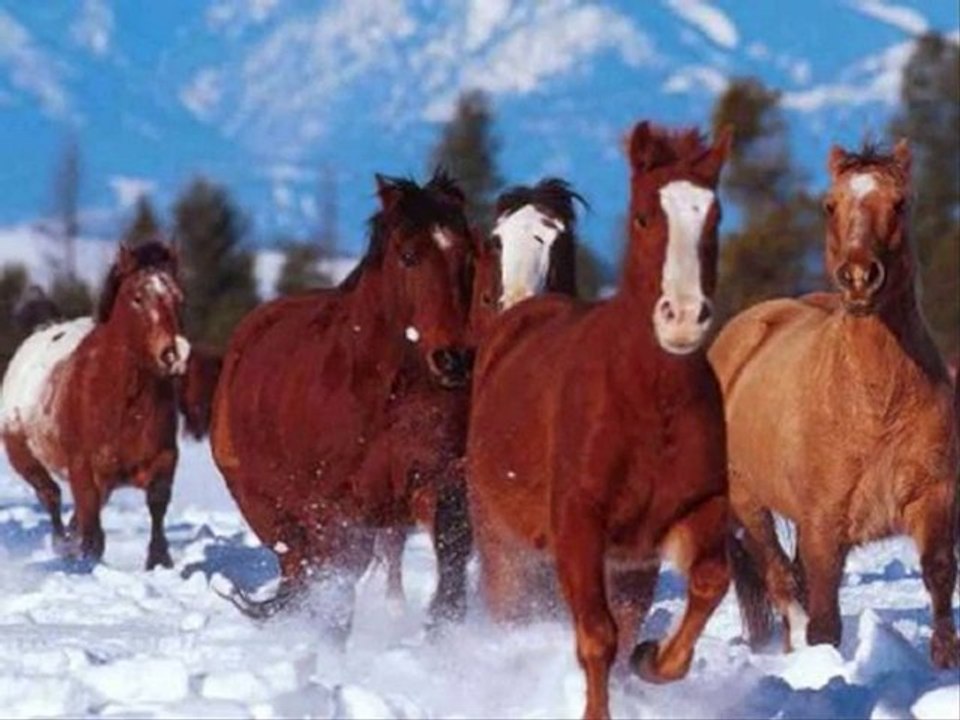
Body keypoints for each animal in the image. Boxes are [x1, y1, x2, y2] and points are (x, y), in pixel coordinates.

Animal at [0, 241, 189, 568]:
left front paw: (159, 559)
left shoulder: (164, 457)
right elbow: (90, 527)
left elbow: (157, 501)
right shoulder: (82, 468)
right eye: (137, 297)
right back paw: (63, 544)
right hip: (23, 457)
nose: (171, 355)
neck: (125, 402)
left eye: (176, 297)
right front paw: (84, 558)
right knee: (50, 495)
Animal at [209, 172, 474, 633]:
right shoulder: (336, 513)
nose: (453, 359)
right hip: (263, 507)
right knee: (298, 568)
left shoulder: (435, 483)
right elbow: (335, 590)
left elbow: (452, 565)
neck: (382, 394)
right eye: (408, 256)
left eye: (469, 256)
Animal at [467, 122, 732, 720]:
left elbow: (707, 583)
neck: (649, 400)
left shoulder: (685, 515)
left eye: (714, 215)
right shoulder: (578, 525)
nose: (683, 317)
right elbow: (596, 636)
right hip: (503, 545)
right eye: (643, 215)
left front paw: (654, 659)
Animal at [709, 140, 959, 669]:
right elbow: (823, 619)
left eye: (900, 204)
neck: (874, 403)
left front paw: (945, 661)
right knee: (782, 580)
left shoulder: (934, 497)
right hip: (749, 504)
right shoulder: (823, 523)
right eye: (829, 205)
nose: (861, 277)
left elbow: (939, 574)